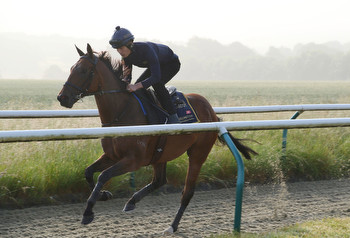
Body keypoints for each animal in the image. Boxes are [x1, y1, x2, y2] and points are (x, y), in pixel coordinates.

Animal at [56, 43, 256, 233]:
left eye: (83, 71)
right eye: (71, 68)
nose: (62, 97)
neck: (121, 113)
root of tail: (212, 112)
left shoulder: (134, 160)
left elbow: (103, 175)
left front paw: (88, 211)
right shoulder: (112, 155)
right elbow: (89, 172)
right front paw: (104, 195)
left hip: (198, 154)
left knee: (187, 192)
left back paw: (172, 226)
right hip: (161, 154)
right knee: (160, 180)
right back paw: (132, 201)